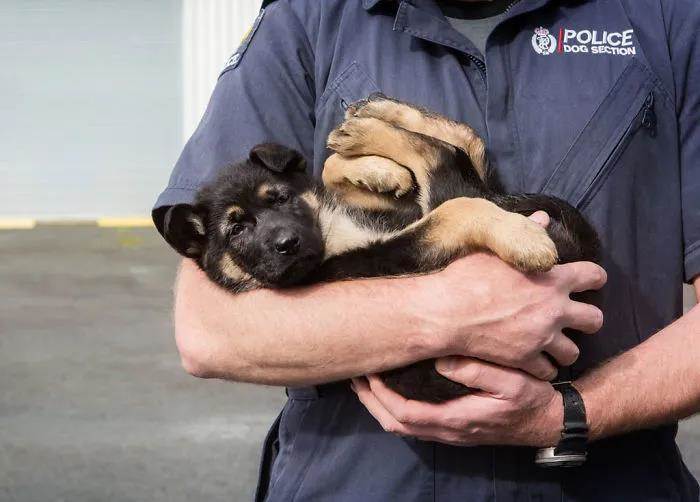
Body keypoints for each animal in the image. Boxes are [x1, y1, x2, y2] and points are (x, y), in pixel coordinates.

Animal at [162, 95, 599, 402]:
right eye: (235, 230)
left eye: (281, 198)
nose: (287, 244)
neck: (333, 231)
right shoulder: (395, 255)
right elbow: (455, 209)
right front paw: (525, 239)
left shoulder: (396, 213)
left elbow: (326, 171)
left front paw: (378, 171)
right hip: (452, 195)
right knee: (448, 160)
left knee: (461, 144)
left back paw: (370, 114)